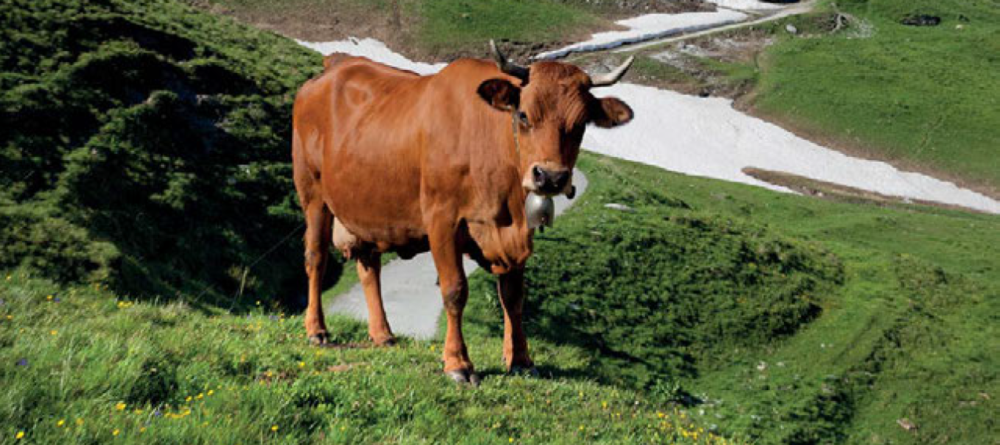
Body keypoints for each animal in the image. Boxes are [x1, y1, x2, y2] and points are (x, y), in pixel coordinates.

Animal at [292, 41, 634, 384]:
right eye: (523, 114)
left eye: (581, 123)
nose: (550, 177)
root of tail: (333, 67)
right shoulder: (442, 219)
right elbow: (454, 290)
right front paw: (458, 363)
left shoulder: (517, 232)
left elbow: (513, 297)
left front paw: (521, 359)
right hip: (313, 194)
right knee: (315, 257)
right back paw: (317, 329)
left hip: (368, 209)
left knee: (368, 267)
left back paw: (382, 334)